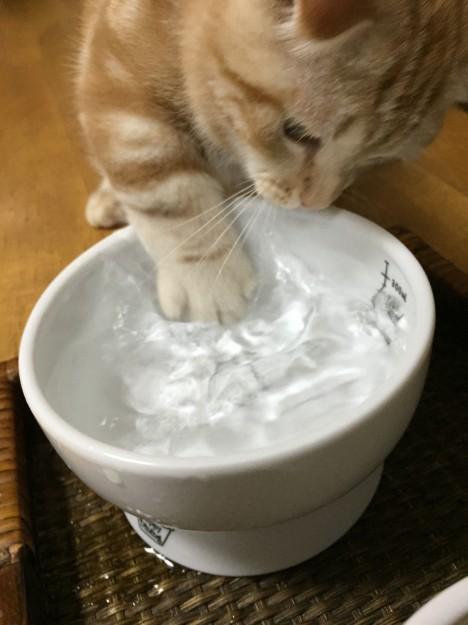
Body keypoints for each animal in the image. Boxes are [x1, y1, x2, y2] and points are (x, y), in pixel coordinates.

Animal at [77, 0, 468, 323]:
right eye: (297, 132)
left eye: (376, 160)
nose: (315, 202)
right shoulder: (116, 71)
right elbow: (163, 192)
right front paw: (208, 280)